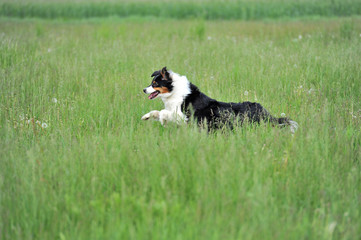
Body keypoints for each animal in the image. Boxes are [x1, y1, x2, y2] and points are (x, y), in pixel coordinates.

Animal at [142, 66, 296, 132]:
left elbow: (164, 112)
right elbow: (157, 111)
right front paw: (147, 116)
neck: (174, 91)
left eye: (155, 84)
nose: (144, 89)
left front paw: (162, 120)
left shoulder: (184, 116)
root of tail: (265, 112)